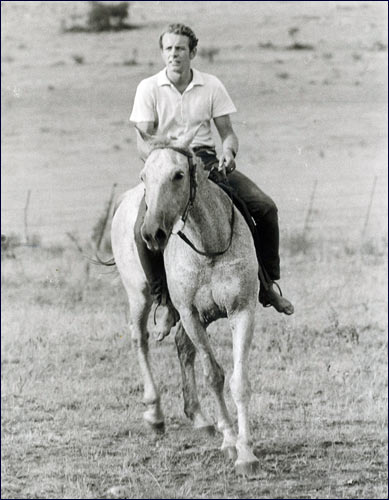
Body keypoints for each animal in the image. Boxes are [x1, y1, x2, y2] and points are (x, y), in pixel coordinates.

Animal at [110, 130, 260, 476]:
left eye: (178, 175)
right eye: (144, 176)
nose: (152, 233)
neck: (209, 246)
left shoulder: (242, 310)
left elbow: (239, 381)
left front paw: (246, 453)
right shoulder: (191, 315)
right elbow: (214, 376)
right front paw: (230, 442)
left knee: (182, 347)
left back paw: (201, 418)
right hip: (139, 295)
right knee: (140, 339)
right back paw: (155, 414)